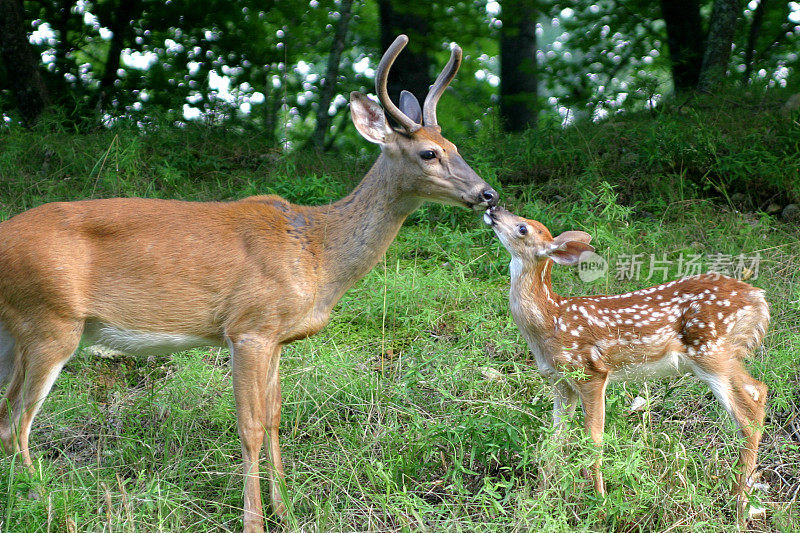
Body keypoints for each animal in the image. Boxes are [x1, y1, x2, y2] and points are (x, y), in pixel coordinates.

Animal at [0, 35, 496, 528]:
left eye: (454, 144)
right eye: (428, 153)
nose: (487, 194)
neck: (317, 253)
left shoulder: (277, 336)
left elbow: (275, 418)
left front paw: (286, 511)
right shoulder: (248, 327)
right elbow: (250, 426)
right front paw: (254, 520)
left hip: (16, 332)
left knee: (6, 414)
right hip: (50, 321)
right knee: (18, 421)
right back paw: (45, 503)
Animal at [484, 207, 764, 520]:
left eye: (522, 228)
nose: (493, 208)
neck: (549, 321)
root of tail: (758, 298)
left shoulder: (591, 372)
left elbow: (593, 439)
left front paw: (600, 503)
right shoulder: (560, 382)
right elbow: (554, 439)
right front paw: (539, 498)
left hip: (711, 351)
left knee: (747, 413)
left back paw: (739, 505)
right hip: (726, 355)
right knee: (759, 391)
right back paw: (741, 497)